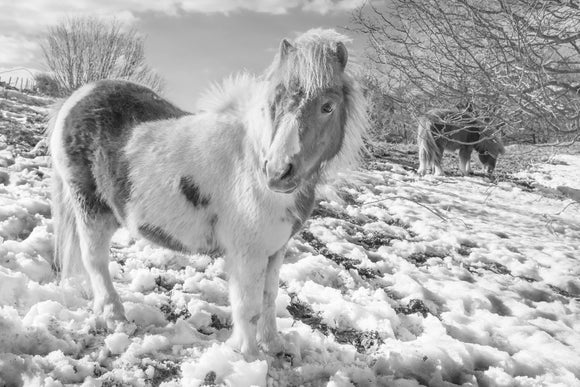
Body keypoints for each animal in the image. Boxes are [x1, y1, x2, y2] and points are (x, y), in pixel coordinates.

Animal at [48, 28, 368, 360]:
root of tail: (77, 97)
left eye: (328, 106)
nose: (278, 172)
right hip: (90, 209)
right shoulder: (247, 254)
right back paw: (115, 317)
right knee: (94, 259)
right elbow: (248, 306)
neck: (252, 161)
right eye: (275, 102)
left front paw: (274, 345)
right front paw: (249, 358)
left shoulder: (275, 250)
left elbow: (269, 298)